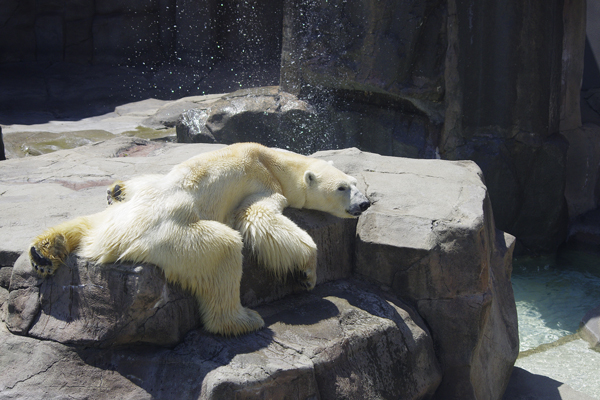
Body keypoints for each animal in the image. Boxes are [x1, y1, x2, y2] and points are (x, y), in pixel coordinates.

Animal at [29, 142, 370, 336]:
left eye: (356, 183)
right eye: (342, 188)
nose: (365, 203)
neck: (273, 159)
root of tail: (112, 241)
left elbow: (150, 181)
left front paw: (117, 188)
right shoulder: (262, 182)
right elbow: (259, 219)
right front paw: (307, 271)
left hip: (112, 220)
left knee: (82, 223)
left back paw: (44, 252)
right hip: (175, 237)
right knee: (225, 250)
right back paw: (243, 320)